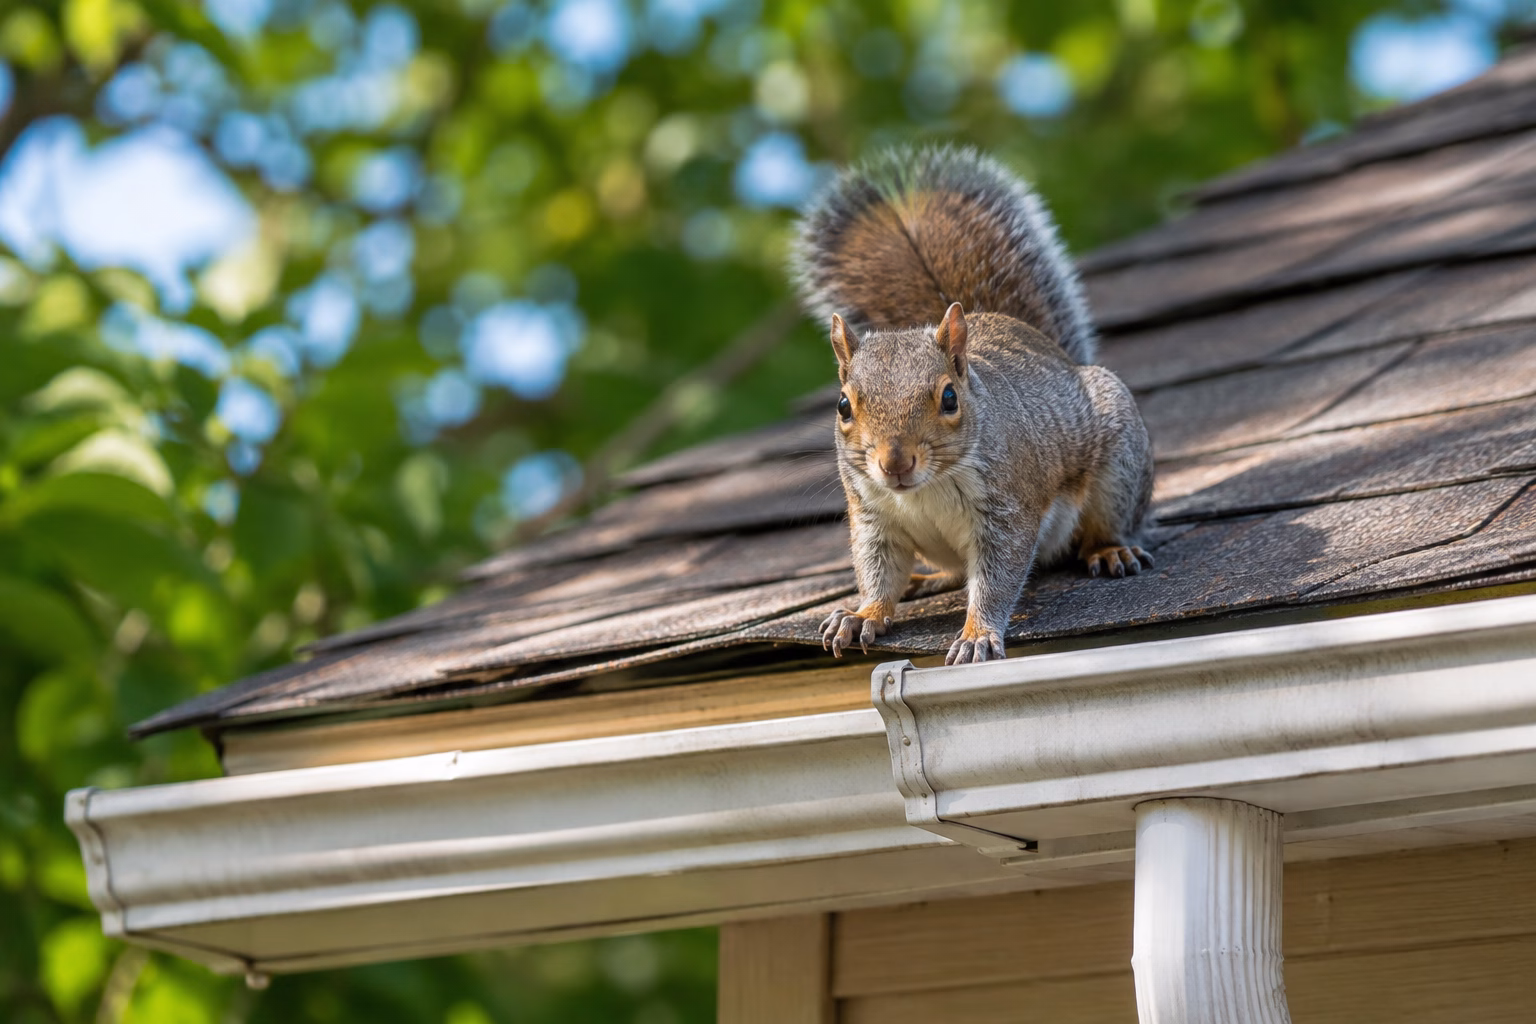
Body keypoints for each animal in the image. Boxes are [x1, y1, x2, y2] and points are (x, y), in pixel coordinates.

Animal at [791, 145, 1154, 665]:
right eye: (843, 405)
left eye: (949, 398)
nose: (894, 463)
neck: (924, 489)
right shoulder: (873, 517)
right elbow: (878, 572)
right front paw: (863, 614)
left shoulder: (1007, 509)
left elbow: (997, 577)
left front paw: (977, 634)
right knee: (950, 573)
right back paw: (924, 581)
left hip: (1118, 464)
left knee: (1105, 525)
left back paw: (1109, 550)